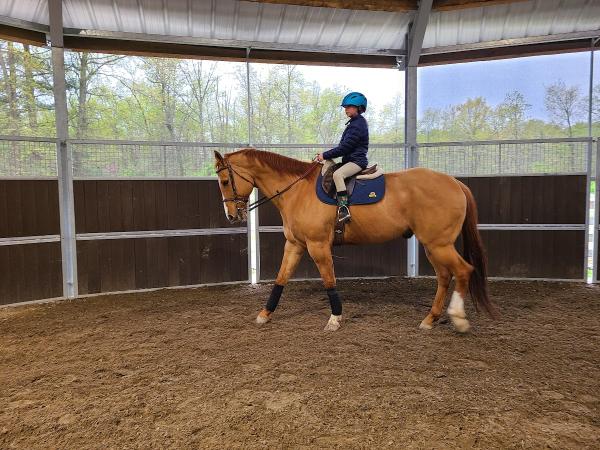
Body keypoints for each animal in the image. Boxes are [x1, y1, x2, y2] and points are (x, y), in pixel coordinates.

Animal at [213, 148, 494, 330]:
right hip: (432, 246)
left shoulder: (318, 246)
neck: (298, 190)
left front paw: (335, 318)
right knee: (445, 276)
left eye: (225, 180)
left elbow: (329, 280)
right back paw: (430, 319)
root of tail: (455, 183)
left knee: (463, 271)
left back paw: (458, 318)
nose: (231, 215)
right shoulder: (295, 245)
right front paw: (265, 314)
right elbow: (280, 279)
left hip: (439, 244)